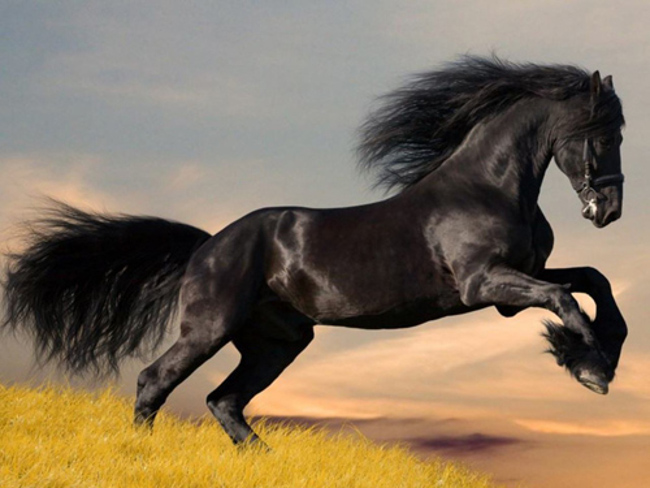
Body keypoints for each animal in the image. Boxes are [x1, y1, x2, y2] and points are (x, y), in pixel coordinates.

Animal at [2, 56, 627, 447]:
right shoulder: (485, 285)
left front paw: (599, 355)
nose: (610, 211)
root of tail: (208, 245)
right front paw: (589, 367)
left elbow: (592, 280)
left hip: (278, 342)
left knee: (224, 400)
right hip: (210, 328)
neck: (488, 187)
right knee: (155, 381)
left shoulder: (516, 283)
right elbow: (565, 299)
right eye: (603, 133)